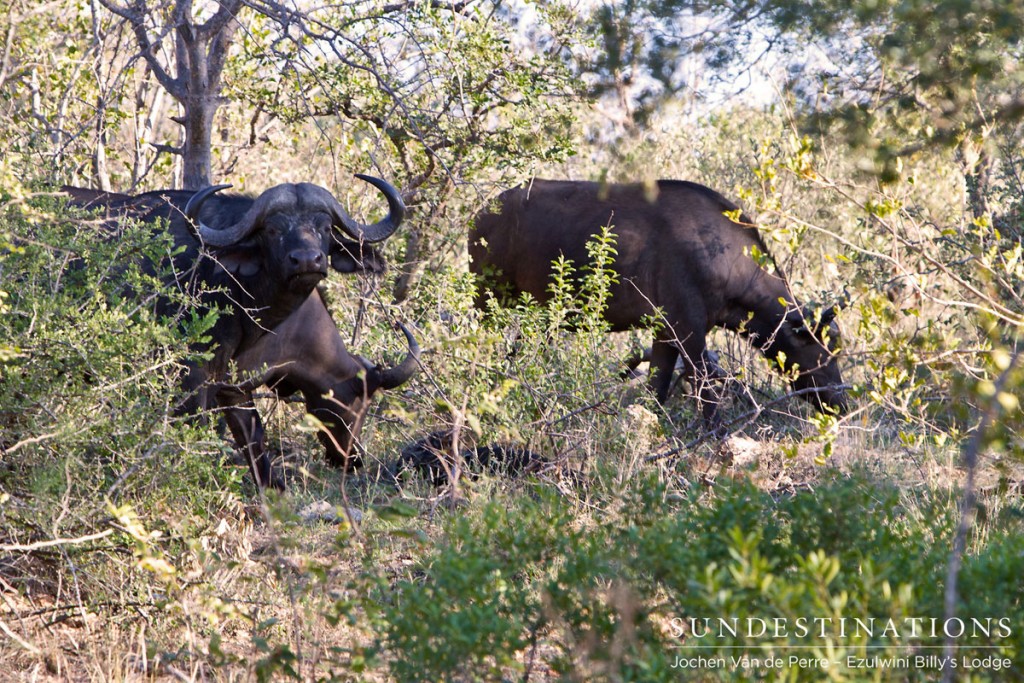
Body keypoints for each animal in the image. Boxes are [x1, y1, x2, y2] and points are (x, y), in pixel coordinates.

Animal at [60, 176, 407, 485]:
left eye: (324, 228)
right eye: (272, 230)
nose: (307, 261)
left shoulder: (233, 385)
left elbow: (254, 442)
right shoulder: (190, 376)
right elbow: (194, 431)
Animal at [471, 179, 847, 419]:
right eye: (822, 351)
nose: (841, 403)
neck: (720, 254)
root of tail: (482, 215)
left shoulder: (664, 334)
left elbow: (657, 391)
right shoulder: (689, 332)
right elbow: (707, 398)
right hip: (487, 306)